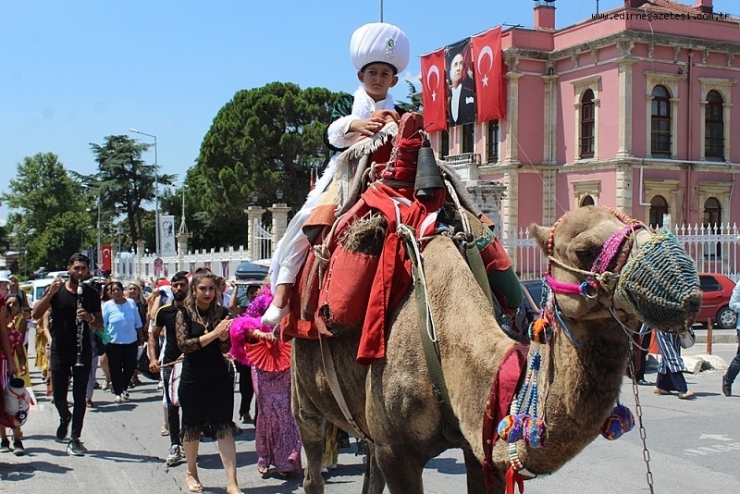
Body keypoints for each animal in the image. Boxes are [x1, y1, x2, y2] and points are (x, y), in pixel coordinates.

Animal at [290, 205, 700, 494]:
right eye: (585, 250)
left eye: (646, 226)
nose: (687, 291)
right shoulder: (397, 452)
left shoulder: (478, 448)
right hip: (305, 395)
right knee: (312, 465)